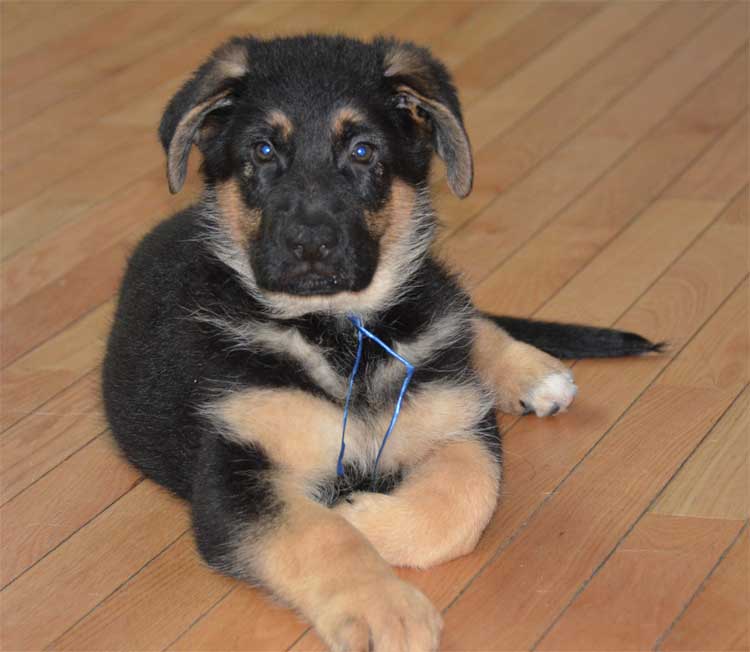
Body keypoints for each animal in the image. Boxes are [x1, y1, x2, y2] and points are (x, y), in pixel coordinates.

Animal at [103, 34, 660, 652]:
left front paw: (361, 516)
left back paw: (531, 369)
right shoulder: (236, 469)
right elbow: (319, 537)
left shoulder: (458, 419)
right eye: (264, 151)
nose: (310, 245)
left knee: (462, 314)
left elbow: (465, 498)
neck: (340, 334)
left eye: (364, 151)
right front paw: (382, 607)